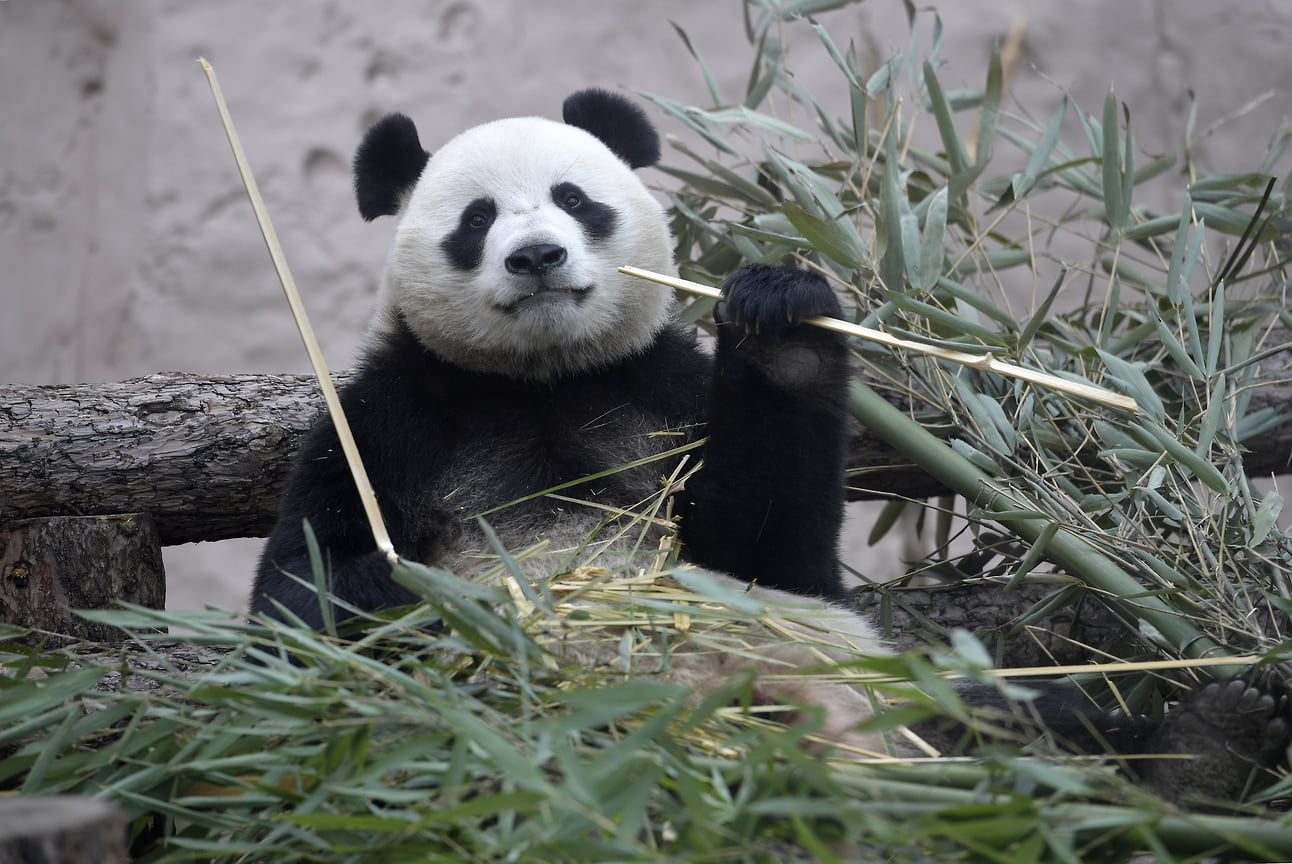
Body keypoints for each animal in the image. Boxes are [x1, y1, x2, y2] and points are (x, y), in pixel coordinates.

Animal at [246, 87, 1286, 800]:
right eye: (477, 219)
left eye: (573, 199)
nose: (537, 256)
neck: (543, 381)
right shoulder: (390, 415)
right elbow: (298, 597)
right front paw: (414, 586)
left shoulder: (663, 395)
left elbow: (770, 548)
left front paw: (781, 318)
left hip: (891, 686)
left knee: (1025, 721)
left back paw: (1203, 745)